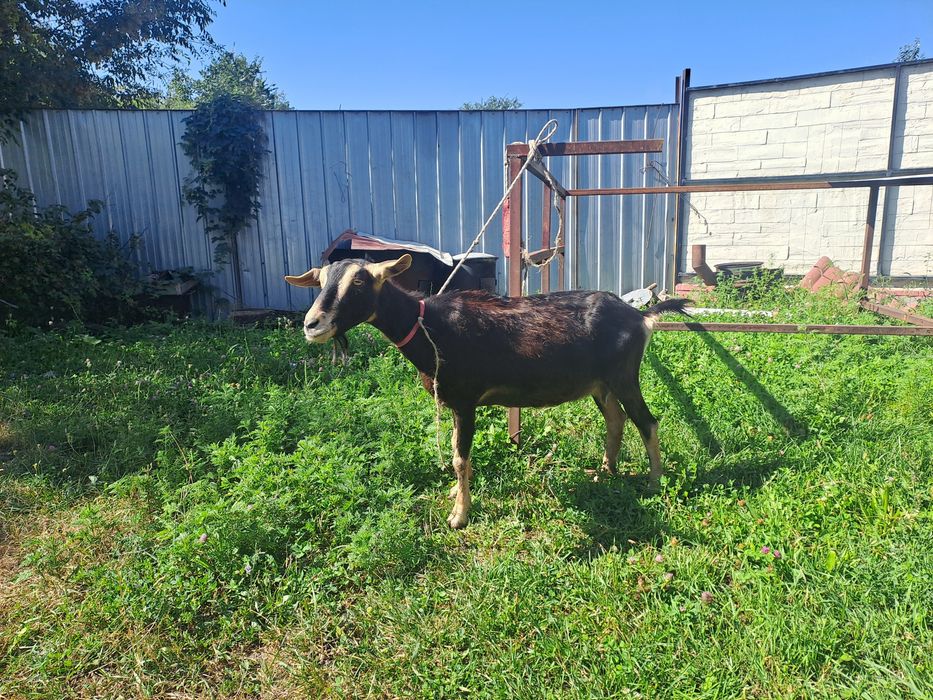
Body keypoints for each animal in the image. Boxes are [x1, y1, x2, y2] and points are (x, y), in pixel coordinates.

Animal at [285, 254, 687, 529]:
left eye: (359, 282)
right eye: (320, 281)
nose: (312, 325)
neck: (431, 327)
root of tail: (641, 317)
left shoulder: (465, 400)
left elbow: (460, 458)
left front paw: (459, 515)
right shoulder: (451, 403)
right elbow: (453, 450)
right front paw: (455, 494)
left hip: (623, 375)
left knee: (647, 422)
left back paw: (653, 482)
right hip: (600, 383)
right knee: (616, 420)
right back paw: (605, 471)